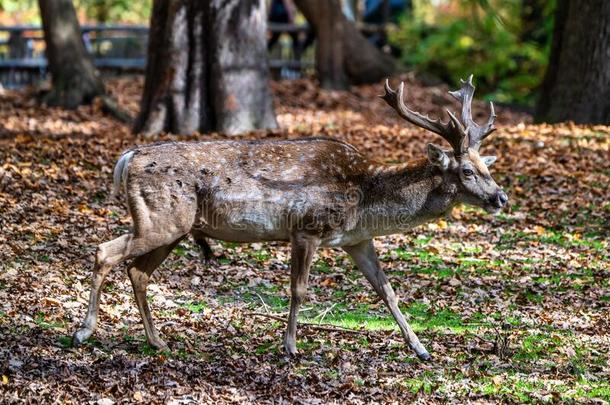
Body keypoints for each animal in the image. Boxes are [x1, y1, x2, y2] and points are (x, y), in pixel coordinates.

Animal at [73, 76, 506, 360]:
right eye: (467, 171)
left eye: (488, 166)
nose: (500, 197)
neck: (365, 203)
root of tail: (128, 158)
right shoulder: (307, 228)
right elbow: (299, 290)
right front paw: (291, 347)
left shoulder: (357, 240)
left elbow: (388, 291)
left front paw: (421, 349)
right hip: (161, 220)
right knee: (104, 251)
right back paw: (84, 331)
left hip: (173, 228)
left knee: (136, 270)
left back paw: (157, 341)